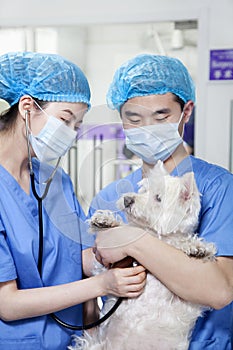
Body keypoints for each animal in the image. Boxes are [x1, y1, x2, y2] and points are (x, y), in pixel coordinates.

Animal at [69, 161, 217, 350]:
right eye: (143, 190)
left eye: (158, 198)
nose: (127, 199)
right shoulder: (105, 266)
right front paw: (105, 221)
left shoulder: (189, 300)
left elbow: (179, 243)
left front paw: (197, 248)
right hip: (92, 344)